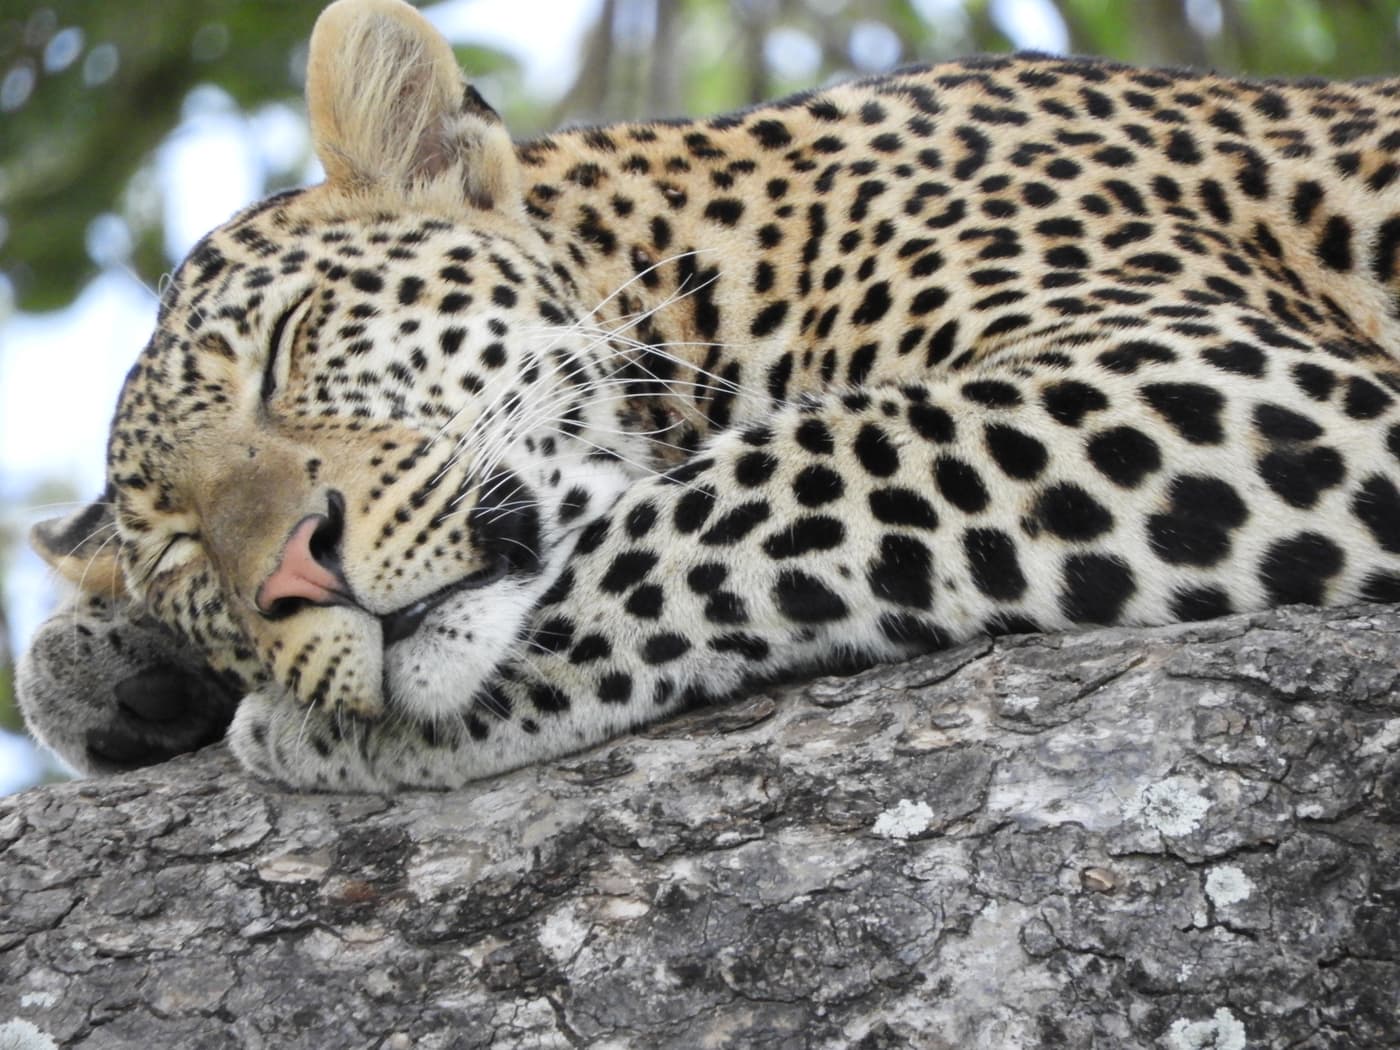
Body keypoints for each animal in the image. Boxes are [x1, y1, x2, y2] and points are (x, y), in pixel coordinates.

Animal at [17, 0, 1400, 790]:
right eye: (182, 554)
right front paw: (117, 668)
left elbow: (745, 497)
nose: (297, 576)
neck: (701, 270)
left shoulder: (1203, 367)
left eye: (288, 346)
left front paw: (322, 727)